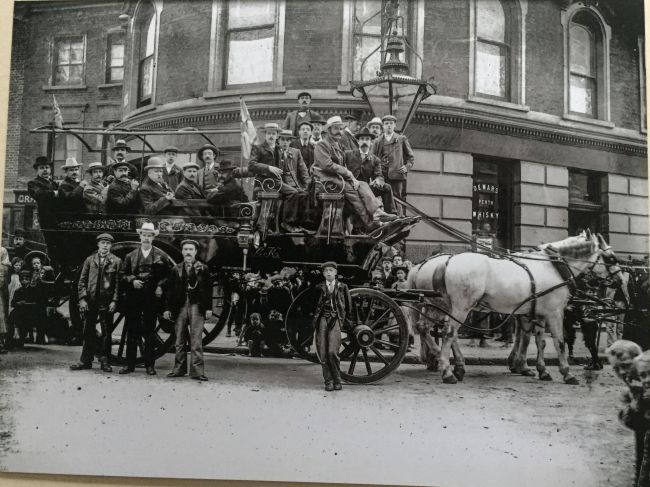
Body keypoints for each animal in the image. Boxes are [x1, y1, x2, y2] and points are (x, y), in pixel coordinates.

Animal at [408, 232, 616, 386]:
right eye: (610, 258)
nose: (617, 281)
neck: (553, 266)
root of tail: (447, 261)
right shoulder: (554, 312)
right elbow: (559, 342)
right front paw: (566, 373)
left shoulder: (537, 313)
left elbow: (539, 342)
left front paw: (541, 370)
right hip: (461, 305)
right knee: (449, 332)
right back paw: (446, 370)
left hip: (440, 304)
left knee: (428, 328)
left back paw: (451, 364)